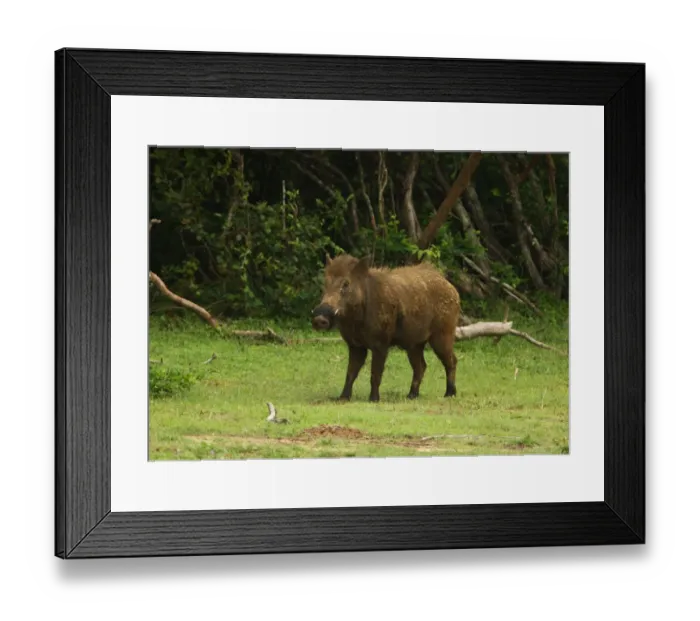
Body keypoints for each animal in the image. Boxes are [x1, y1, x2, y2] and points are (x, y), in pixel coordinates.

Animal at [311, 253, 461, 402]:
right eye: (326, 282)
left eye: (346, 283)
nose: (319, 319)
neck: (355, 321)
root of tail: (453, 290)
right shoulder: (355, 345)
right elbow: (351, 372)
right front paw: (342, 398)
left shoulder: (381, 342)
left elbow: (375, 372)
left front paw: (373, 399)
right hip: (414, 344)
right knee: (421, 366)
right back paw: (411, 395)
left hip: (443, 335)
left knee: (451, 360)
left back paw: (449, 394)